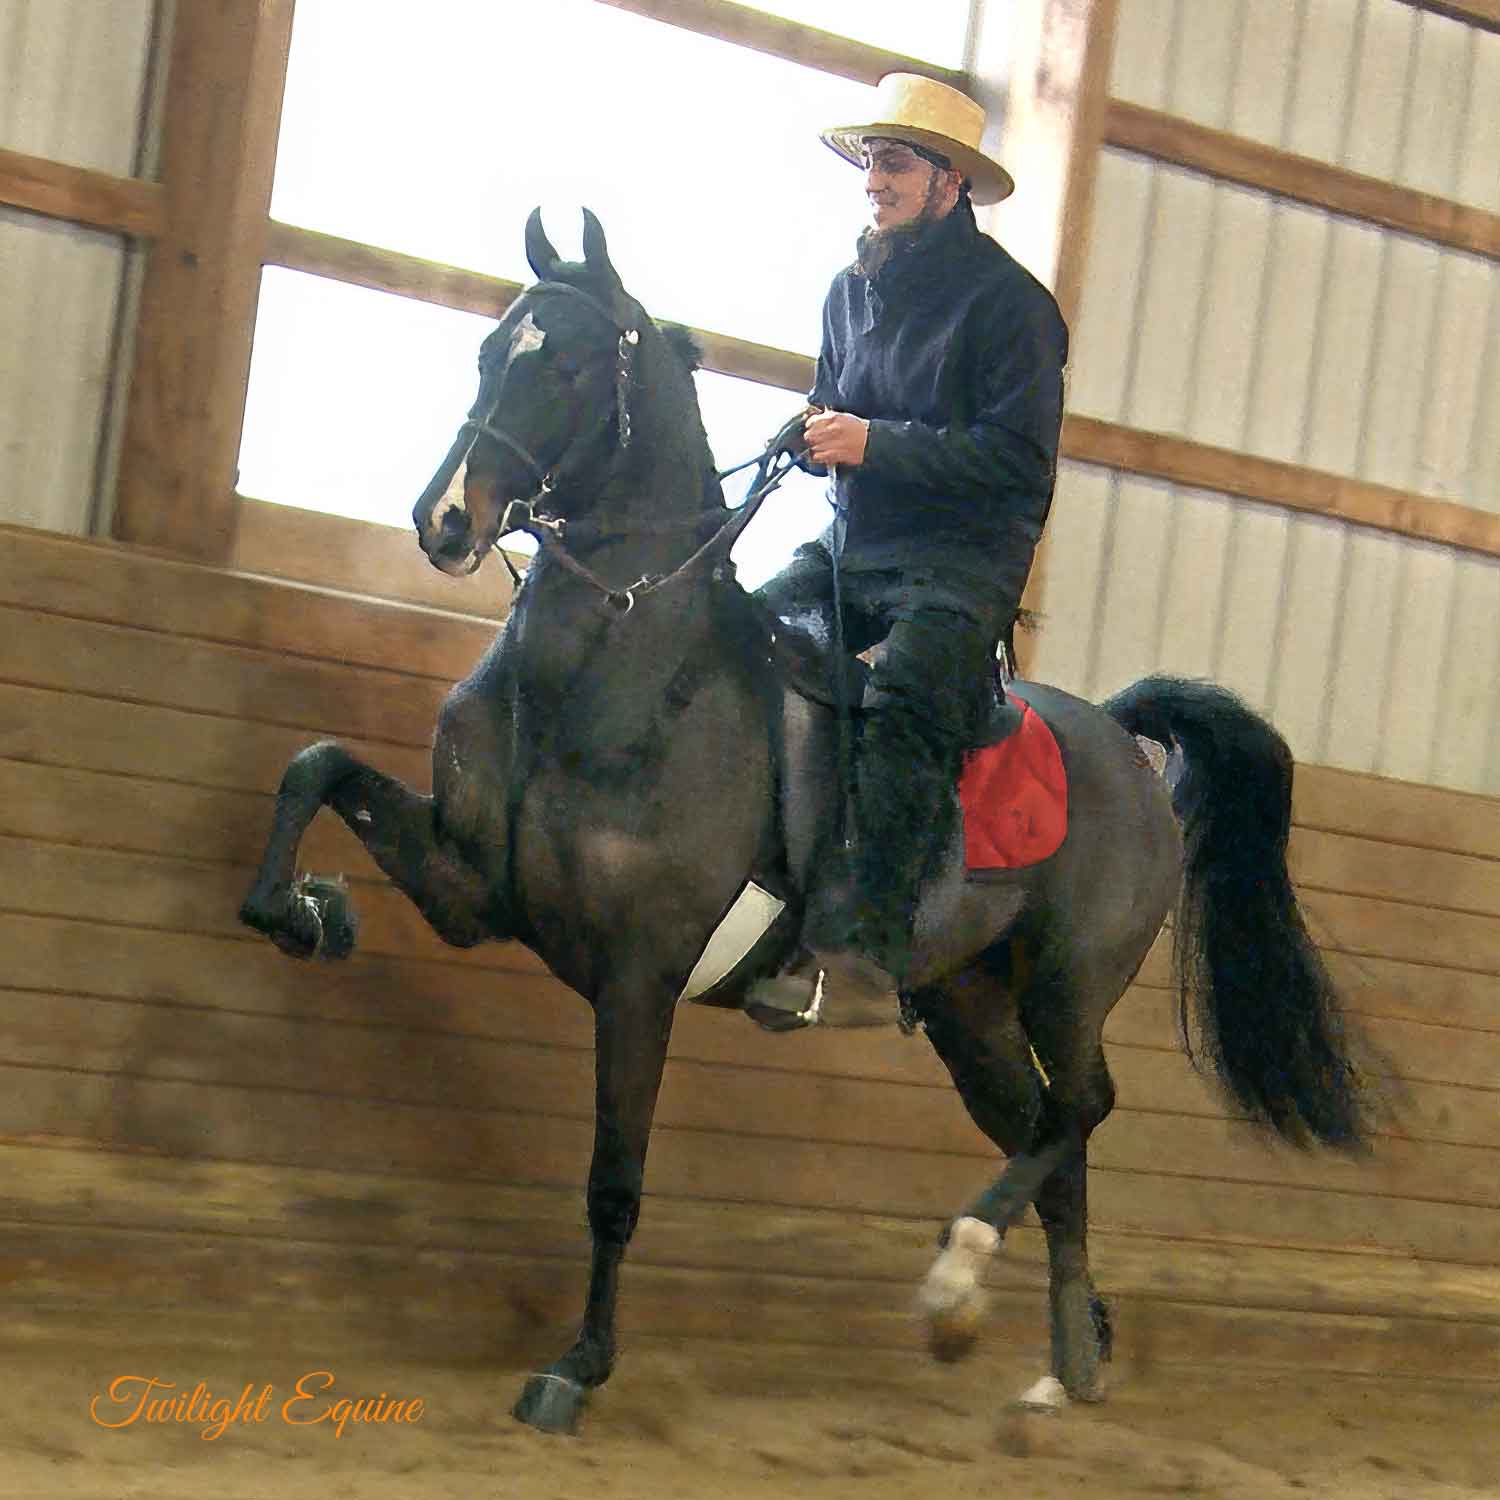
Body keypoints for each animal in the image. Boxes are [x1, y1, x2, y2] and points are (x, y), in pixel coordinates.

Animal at [240, 208, 1364, 1436]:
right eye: (493, 351)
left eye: (570, 365)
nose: (444, 520)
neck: (610, 672)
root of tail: (1117, 737)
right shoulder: (471, 889)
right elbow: (315, 765)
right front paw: (304, 911)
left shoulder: (640, 972)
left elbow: (613, 1182)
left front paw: (577, 1366)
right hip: (967, 1005)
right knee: (1047, 1138)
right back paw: (1063, 1356)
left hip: (1067, 987)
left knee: (1081, 1111)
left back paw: (963, 1278)